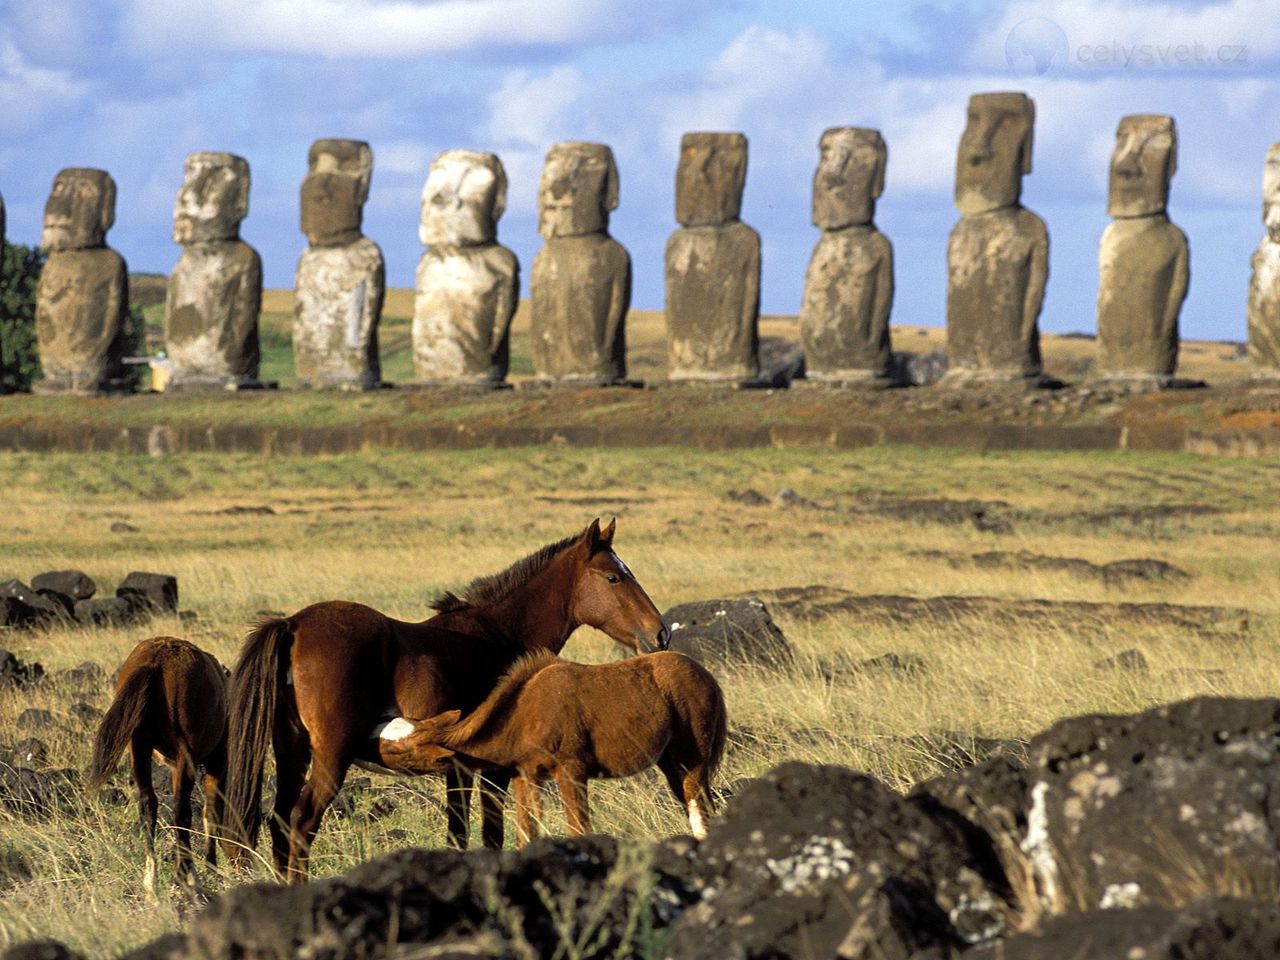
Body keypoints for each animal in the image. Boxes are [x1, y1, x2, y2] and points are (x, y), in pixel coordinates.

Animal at [87, 634, 232, 901]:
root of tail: (156, 660)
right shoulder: (216, 763)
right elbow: (210, 812)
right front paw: (211, 867)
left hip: (139, 748)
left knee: (148, 805)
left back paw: (151, 885)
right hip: (185, 752)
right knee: (181, 810)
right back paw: (187, 878)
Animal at [226, 522, 670, 885]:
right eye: (613, 577)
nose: (661, 634)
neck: (500, 635)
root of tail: (293, 625)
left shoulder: (459, 768)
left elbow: (458, 833)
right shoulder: (493, 770)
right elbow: (490, 833)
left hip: (292, 751)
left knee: (280, 825)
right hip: (331, 758)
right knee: (301, 824)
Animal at [378, 650, 727, 844]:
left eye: (396, 750)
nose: (370, 751)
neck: (524, 715)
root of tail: (708, 677)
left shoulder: (572, 771)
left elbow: (578, 829)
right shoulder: (525, 777)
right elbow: (526, 833)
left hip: (693, 757)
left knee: (699, 807)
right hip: (670, 762)